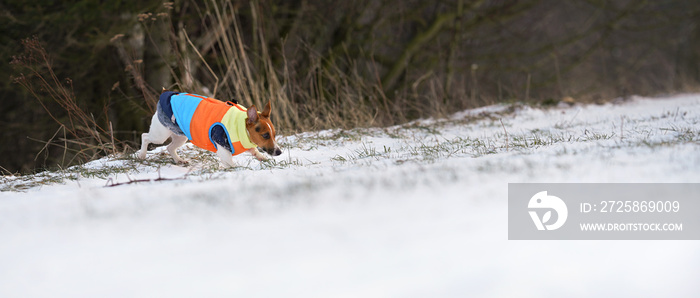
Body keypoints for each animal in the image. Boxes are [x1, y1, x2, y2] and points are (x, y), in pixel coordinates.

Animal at [137, 89, 282, 166]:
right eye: (265, 135)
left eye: (274, 135)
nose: (280, 152)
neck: (240, 125)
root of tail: (168, 94)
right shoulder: (223, 148)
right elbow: (231, 163)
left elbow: (254, 151)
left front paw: (262, 157)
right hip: (160, 134)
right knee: (145, 136)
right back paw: (142, 155)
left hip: (181, 136)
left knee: (170, 147)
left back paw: (179, 160)